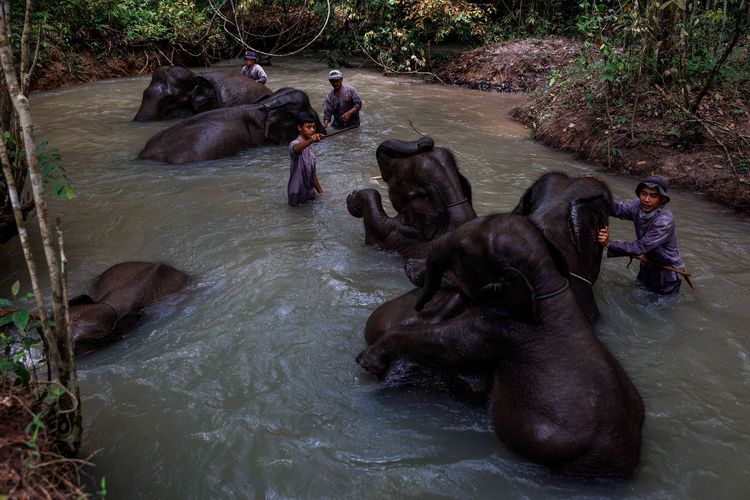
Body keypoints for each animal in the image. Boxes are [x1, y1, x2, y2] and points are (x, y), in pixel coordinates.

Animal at [358, 213, 648, 474]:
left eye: (462, 254)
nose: (410, 270)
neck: (546, 282)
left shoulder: (502, 330)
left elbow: (448, 345)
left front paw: (368, 361)